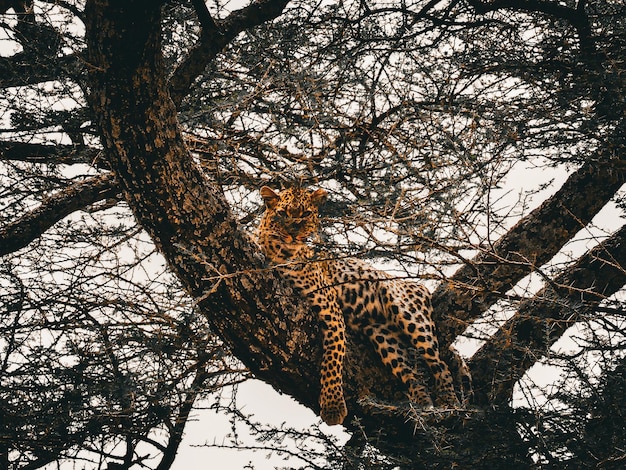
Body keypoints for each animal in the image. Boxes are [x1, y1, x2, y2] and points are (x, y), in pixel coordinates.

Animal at [256, 185, 466, 426]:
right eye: (282, 214)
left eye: (306, 214)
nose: (293, 232)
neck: (280, 252)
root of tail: (420, 287)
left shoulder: (330, 307)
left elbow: (332, 359)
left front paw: (333, 408)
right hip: (383, 336)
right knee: (413, 375)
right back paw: (421, 406)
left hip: (410, 315)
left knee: (439, 364)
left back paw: (448, 402)